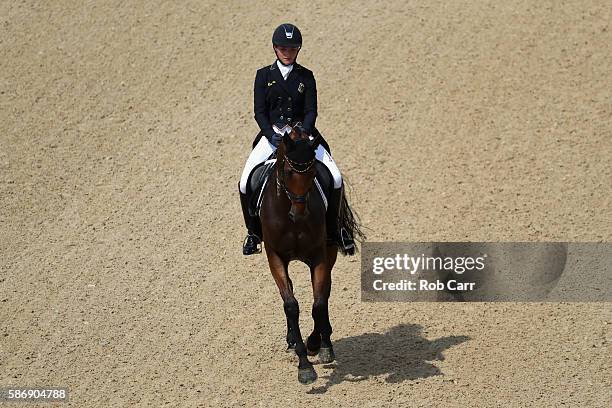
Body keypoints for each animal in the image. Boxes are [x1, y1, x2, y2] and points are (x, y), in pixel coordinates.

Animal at [258, 127, 364, 382]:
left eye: (314, 172)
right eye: (288, 172)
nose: (299, 214)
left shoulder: (319, 256)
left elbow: (318, 302)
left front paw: (318, 345)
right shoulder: (275, 257)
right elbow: (291, 305)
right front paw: (304, 364)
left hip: (331, 249)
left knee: (325, 293)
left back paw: (325, 339)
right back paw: (292, 340)